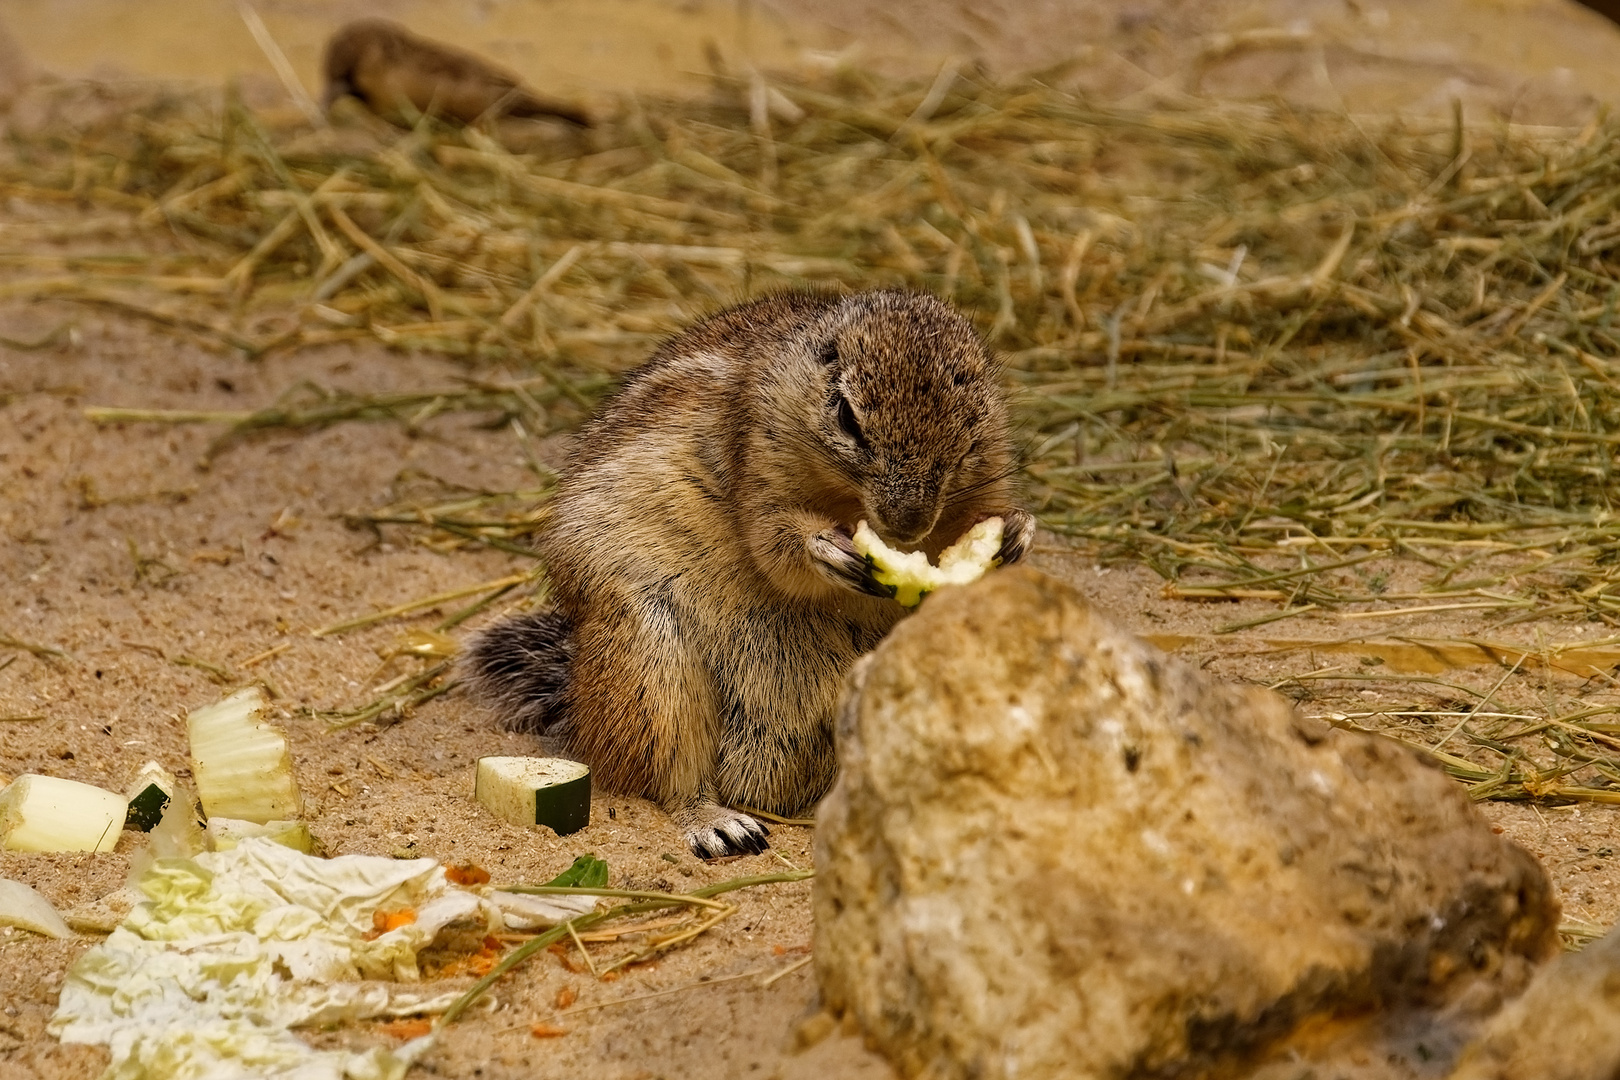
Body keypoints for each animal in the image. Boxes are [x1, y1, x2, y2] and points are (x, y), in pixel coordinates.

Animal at [463, 291, 1030, 854]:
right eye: (848, 418)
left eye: (970, 431)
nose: (906, 524)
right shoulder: (756, 466)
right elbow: (775, 547)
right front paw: (826, 549)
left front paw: (1017, 532)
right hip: (654, 667)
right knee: (670, 778)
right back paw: (718, 823)